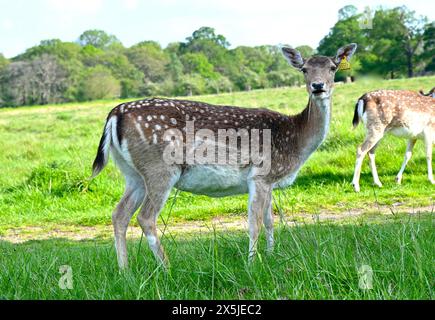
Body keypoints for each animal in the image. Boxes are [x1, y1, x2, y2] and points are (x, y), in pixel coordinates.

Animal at [91, 42, 358, 268]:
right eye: (304, 69)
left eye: (333, 67)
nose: (318, 86)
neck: (295, 139)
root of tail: (114, 115)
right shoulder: (261, 174)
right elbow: (255, 222)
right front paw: (253, 264)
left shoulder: (270, 180)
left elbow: (270, 220)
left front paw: (272, 255)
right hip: (160, 168)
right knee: (146, 217)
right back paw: (167, 268)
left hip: (132, 173)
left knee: (119, 214)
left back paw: (124, 271)